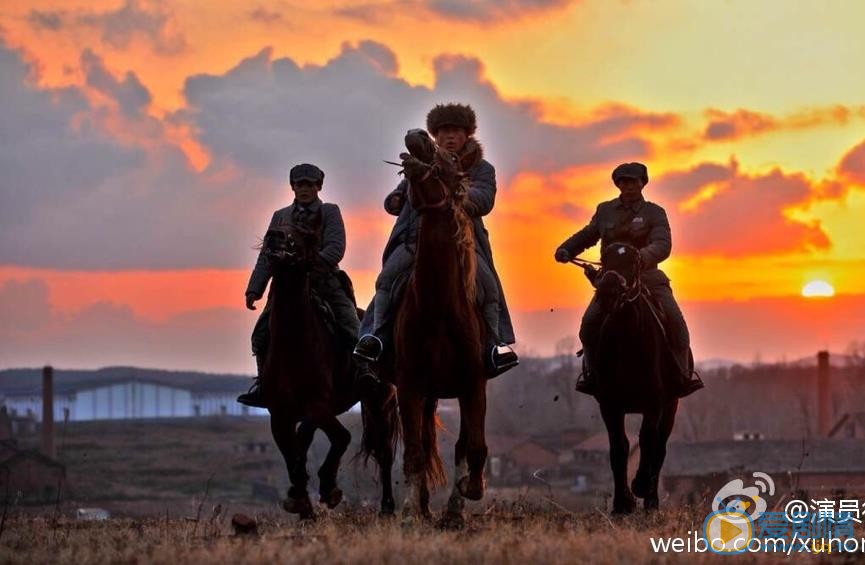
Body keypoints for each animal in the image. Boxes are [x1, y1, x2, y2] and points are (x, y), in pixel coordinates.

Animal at [258, 218, 362, 516]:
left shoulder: (317, 405)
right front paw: (300, 500)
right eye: (274, 227)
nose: (275, 236)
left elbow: (311, 437)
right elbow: (292, 450)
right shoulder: (279, 413)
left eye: (302, 234)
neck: (294, 345)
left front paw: (320, 489)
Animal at [372, 132, 490, 524]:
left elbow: (473, 447)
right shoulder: (409, 385)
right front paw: (411, 510)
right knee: (422, 443)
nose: (417, 135)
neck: (437, 307)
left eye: (451, 162)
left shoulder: (473, 384)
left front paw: (466, 496)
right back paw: (422, 507)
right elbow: (414, 452)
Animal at [576, 240, 684, 512]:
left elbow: (647, 441)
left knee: (660, 448)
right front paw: (622, 503)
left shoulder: (655, 404)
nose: (609, 291)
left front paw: (640, 487)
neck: (628, 339)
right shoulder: (610, 405)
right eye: (604, 259)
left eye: (633, 261)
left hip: (671, 406)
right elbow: (619, 447)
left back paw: (652, 501)